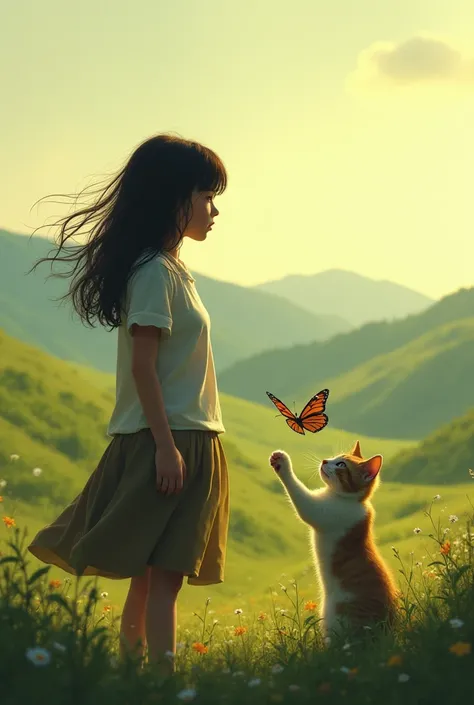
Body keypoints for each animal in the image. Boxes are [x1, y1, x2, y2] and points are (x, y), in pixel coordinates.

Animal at [268, 440, 398, 640]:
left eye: (341, 464)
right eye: (335, 458)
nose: (324, 461)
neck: (350, 500)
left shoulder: (323, 511)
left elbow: (301, 497)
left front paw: (282, 462)